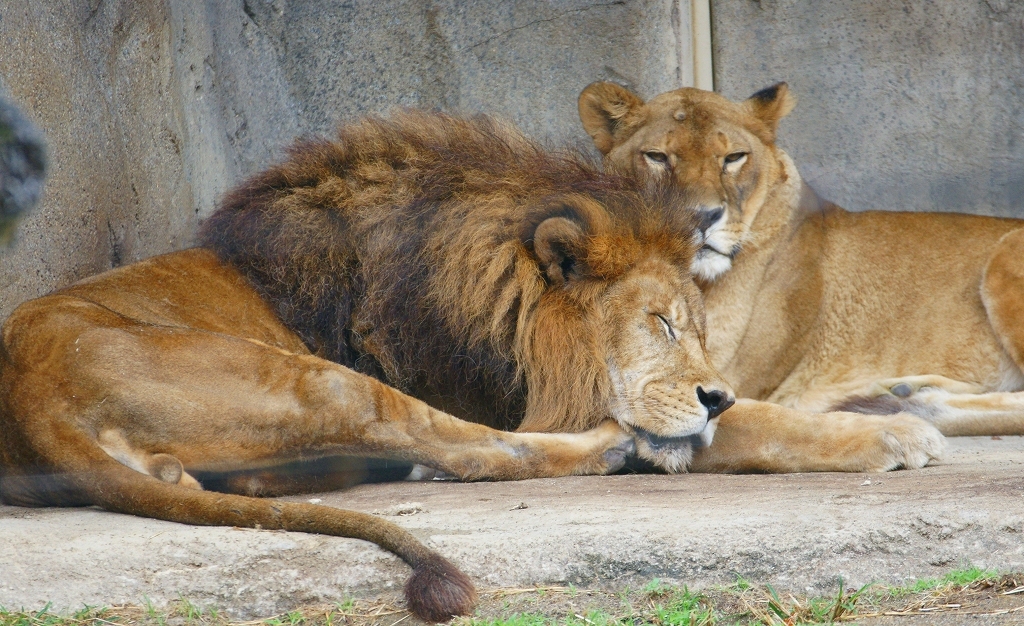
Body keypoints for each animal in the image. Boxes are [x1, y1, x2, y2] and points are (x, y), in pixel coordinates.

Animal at [2, 112, 737, 622]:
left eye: (698, 328)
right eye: (661, 322)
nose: (720, 399)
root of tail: (34, 398)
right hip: (321, 380)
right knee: (480, 451)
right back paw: (614, 446)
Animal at [581, 83, 1019, 442]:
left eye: (734, 157)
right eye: (656, 156)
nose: (701, 216)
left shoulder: (718, 379)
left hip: (1007, 251)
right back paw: (905, 391)